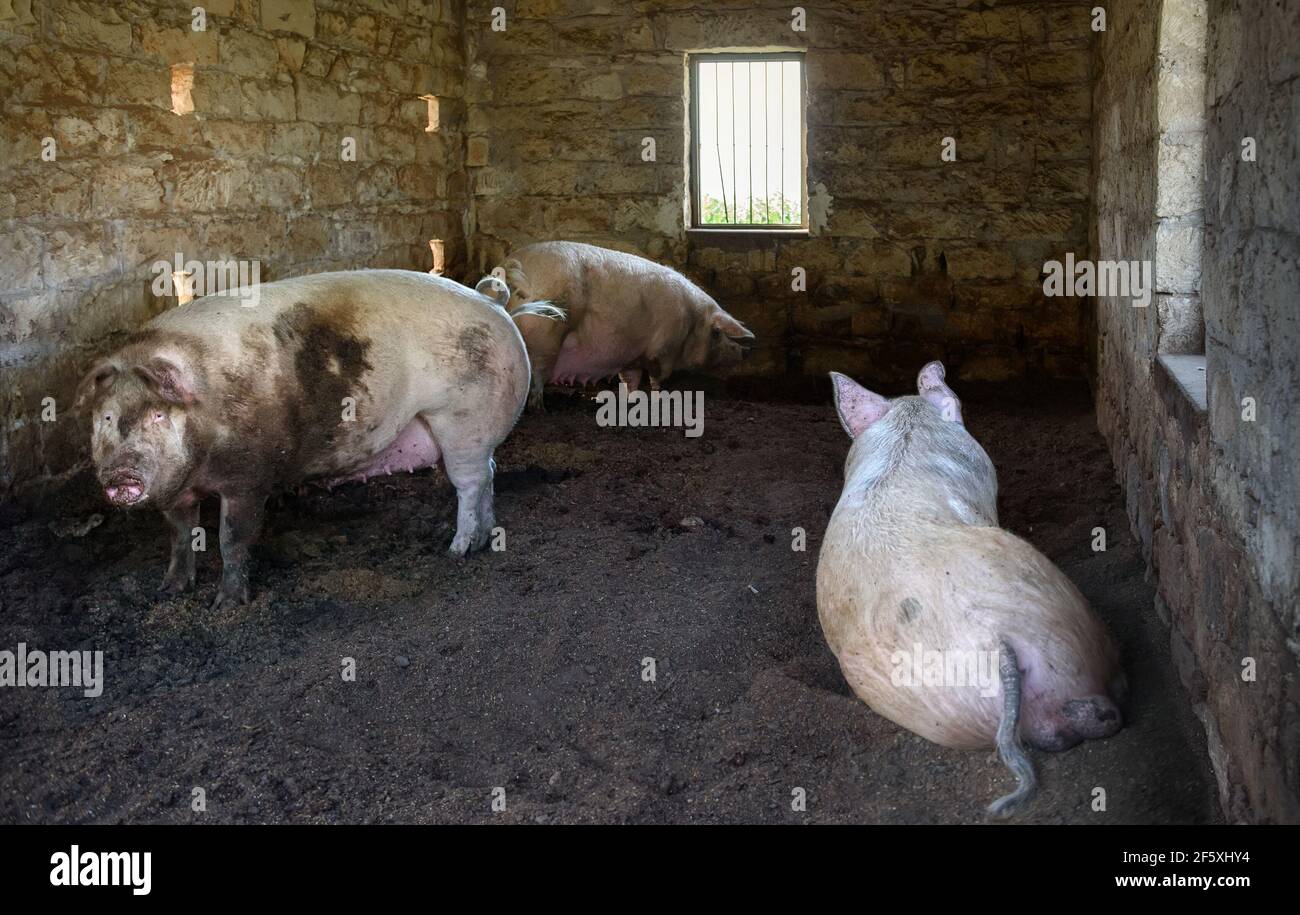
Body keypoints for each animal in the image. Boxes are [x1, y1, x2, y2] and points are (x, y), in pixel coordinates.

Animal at [74, 270, 553, 613]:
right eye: (104, 418)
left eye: (158, 414)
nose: (121, 475)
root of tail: (492, 302)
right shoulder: (175, 489)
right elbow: (178, 536)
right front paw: (169, 591)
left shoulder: (250, 475)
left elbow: (233, 537)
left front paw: (226, 605)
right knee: (489, 474)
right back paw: (484, 539)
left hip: (462, 419)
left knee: (470, 483)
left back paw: (456, 551)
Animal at [488, 243, 754, 415]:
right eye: (717, 333)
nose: (745, 351)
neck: (691, 321)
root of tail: (512, 268)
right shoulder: (662, 349)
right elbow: (657, 377)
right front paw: (658, 399)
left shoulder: (631, 357)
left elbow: (630, 379)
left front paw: (631, 400)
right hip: (546, 336)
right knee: (537, 378)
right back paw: (540, 410)